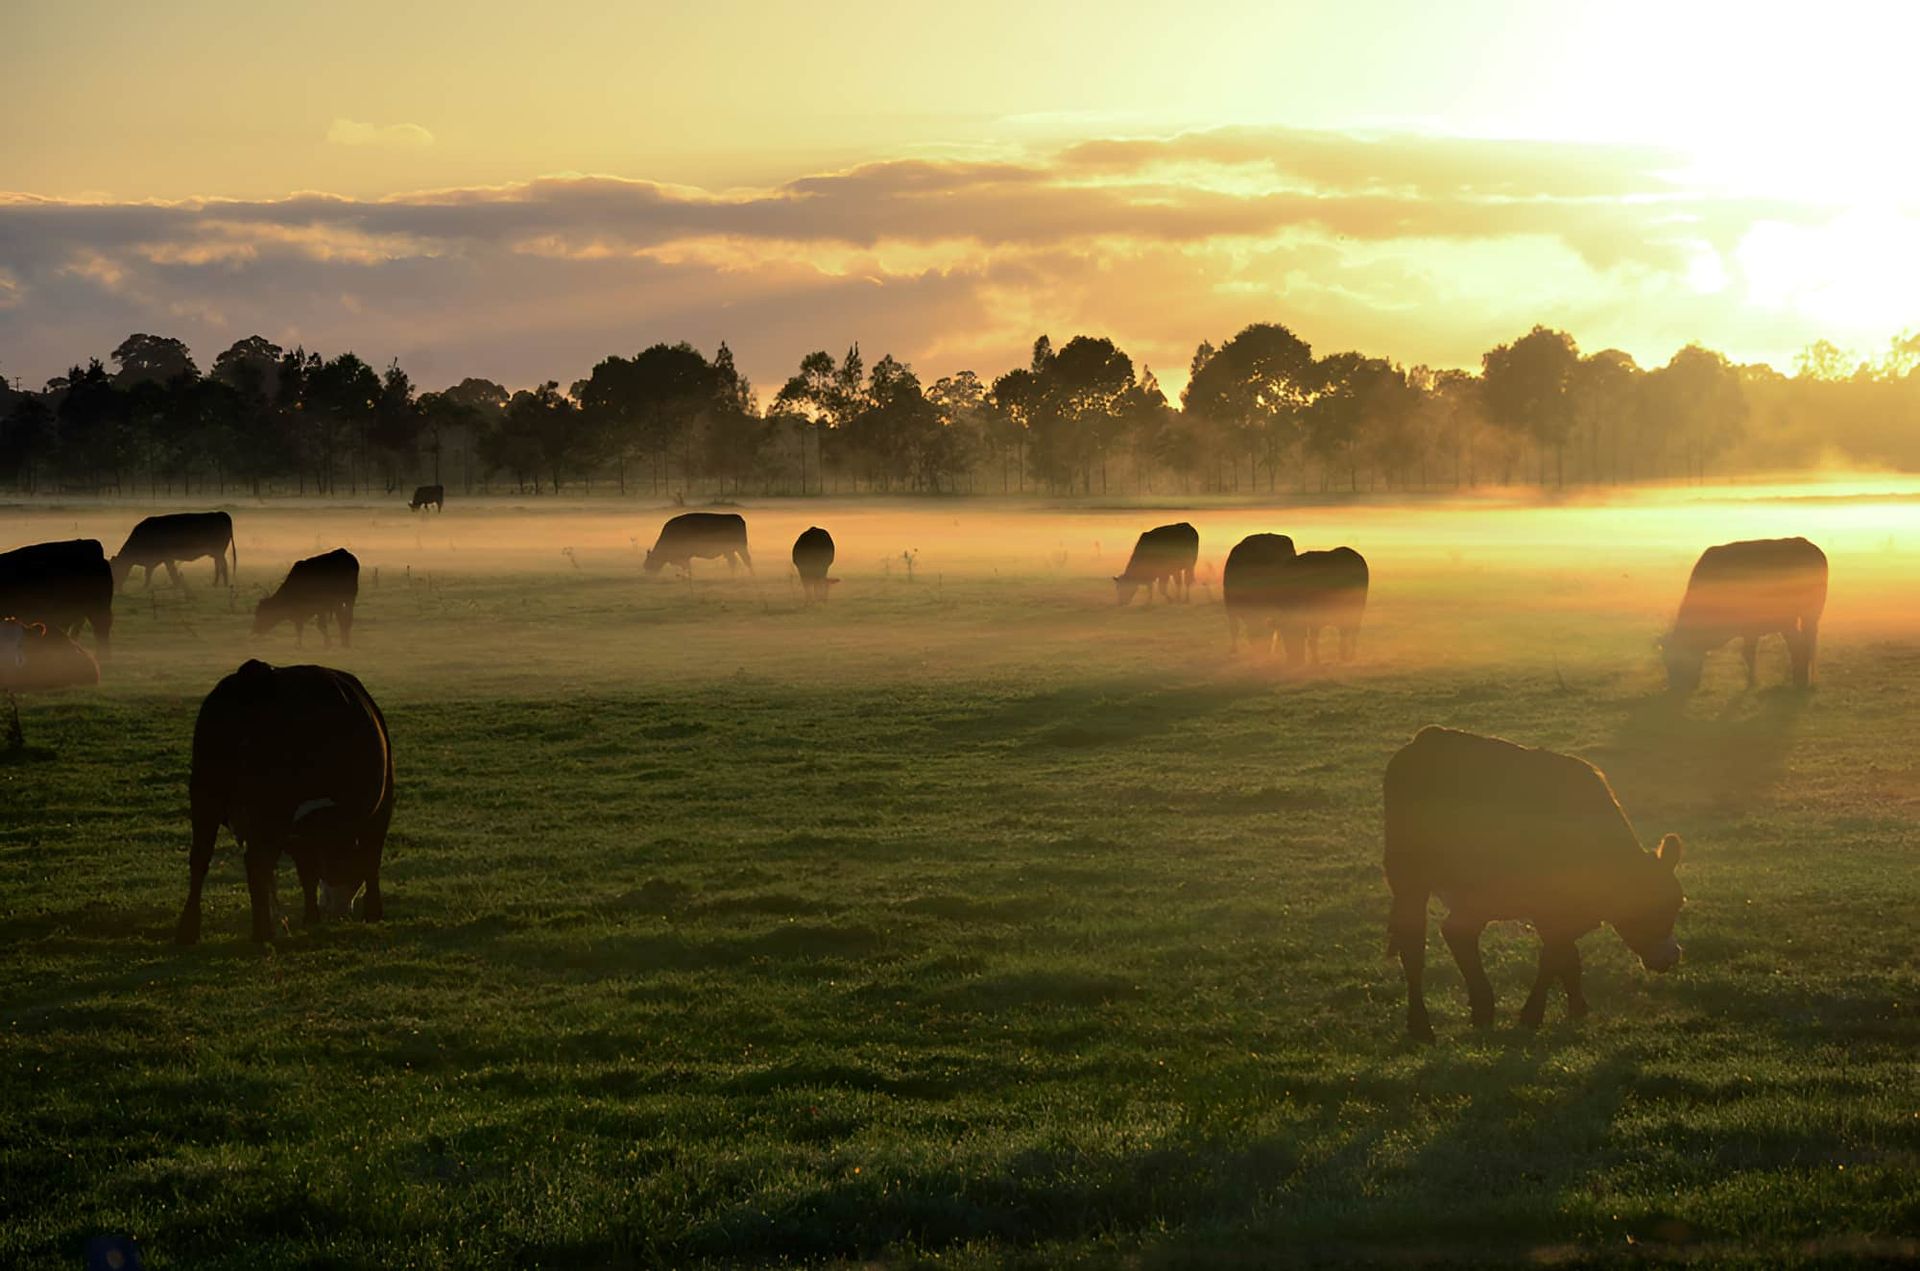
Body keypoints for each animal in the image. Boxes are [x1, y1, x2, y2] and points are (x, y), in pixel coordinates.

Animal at [175, 660, 394, 944]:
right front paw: (373, 913)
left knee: (200, 857)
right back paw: (262, 932)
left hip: (205, 794)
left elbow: (307, 871)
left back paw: (188, 930)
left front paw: (311, 916)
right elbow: (371, 859)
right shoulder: (381, 809)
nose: (339, 912)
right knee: (256, 862)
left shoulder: (299, 834)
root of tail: (256, 675)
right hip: (269, 809)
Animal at [1384, 726, 1685, 1042]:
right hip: (1412, 879)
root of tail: (1429, 737)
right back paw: (1423, 1024)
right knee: (1417, 944)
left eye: (1677, 904)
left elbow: (1567, 956)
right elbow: (1554, 956)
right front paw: (1532, 1015)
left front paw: (1576, 1008)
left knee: (1455, 933)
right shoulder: (1548, 908)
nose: (1672, 955)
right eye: (1654, 909)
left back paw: (1480, 1008)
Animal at [1663, 537, 1827, 694]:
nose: (1676, 687)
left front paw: (1752, 683)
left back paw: (1800, 682)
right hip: (1807, 618)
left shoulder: (1750, 629)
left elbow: (1748, 654)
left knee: (1800, 645)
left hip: (1794, 619)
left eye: (1676, 661)